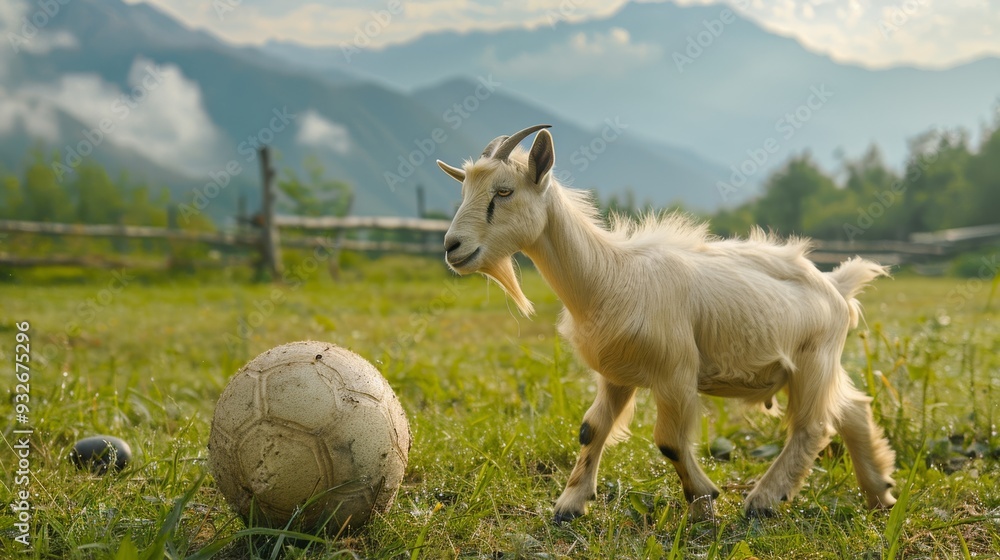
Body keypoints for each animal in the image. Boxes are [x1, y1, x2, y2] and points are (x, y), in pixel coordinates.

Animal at [436, 125, 897, 521]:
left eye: (504, 191)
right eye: (463, 190)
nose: (452, 246)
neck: (609, 275)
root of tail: (837, 284)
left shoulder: (676, 371)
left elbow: (669, 442)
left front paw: (703, 502)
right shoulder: (616, 374)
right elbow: (591, 428)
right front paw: (569, 504)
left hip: (813, 361)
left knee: (812, 426)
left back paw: (764, 500)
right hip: (819, 366)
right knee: (853, 409)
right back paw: (880, 493)